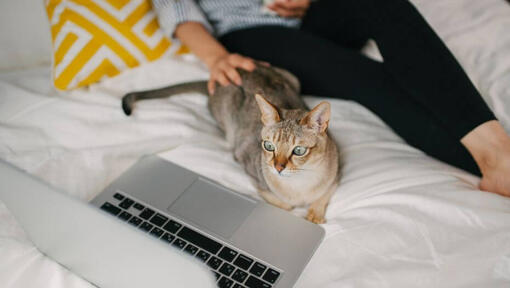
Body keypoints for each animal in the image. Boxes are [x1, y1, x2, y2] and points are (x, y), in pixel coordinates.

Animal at [122, 64, 340, 223]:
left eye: (299, 150)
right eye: (269, 146)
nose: (277, 167)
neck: (301, 184)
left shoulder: (336, 171)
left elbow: (324, 194)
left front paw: (315, 214)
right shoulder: (248, 165)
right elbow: (285, 204)